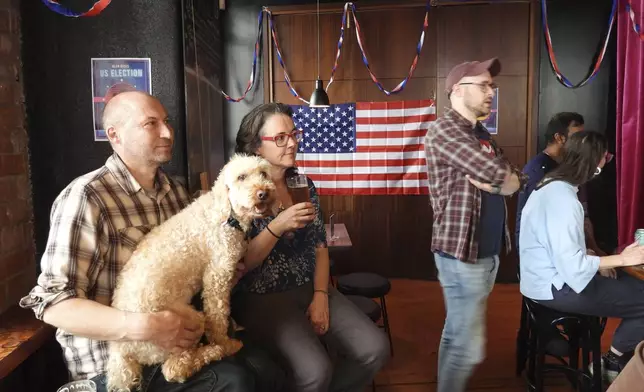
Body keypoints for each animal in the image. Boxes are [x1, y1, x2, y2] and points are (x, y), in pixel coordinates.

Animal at [105, 155, 274, 390]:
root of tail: (121, 350)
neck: (227, 214)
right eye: (241, 177)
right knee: (173, 369)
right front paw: (225, 342)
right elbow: (218, 317)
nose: (263, 193)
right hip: (186, 323)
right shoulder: (216, 276)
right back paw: (214, 350)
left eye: (264, 174)